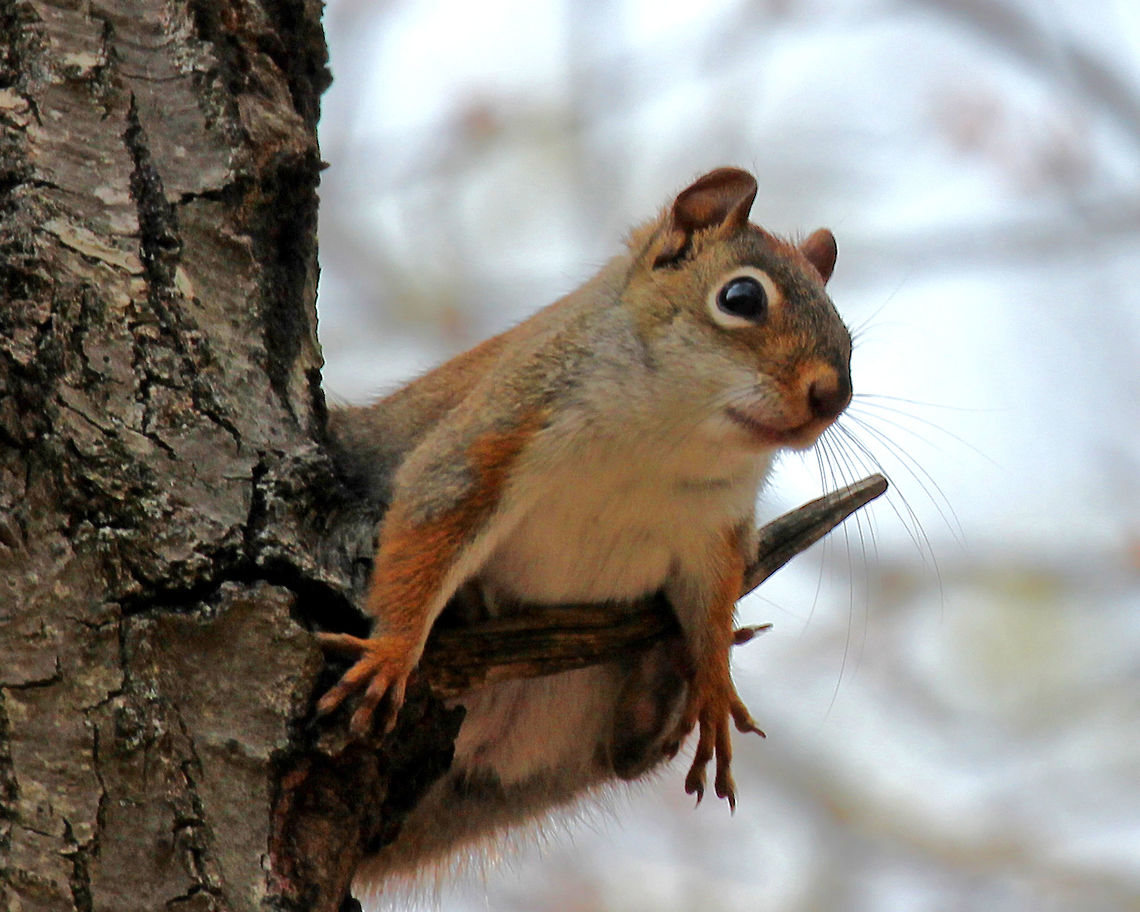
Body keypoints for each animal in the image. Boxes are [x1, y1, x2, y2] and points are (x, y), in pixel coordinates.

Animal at [319, 167, 852, 887]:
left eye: (845, 328)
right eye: (741, 297)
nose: (833, 396)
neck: (671, 436)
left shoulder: (715, 532)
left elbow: (713, 607)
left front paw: (714, 684)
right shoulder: (498, 433)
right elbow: (434, 515)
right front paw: (391, 652)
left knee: (625, 757)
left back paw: (660, 683)